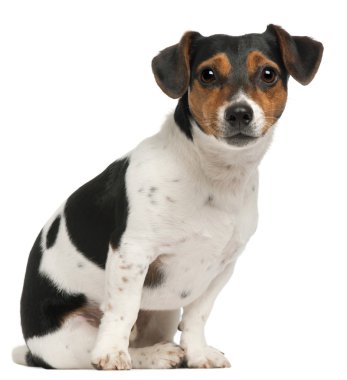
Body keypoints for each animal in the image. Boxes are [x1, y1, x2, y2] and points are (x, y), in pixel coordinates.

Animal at [12, 25, 324, 370]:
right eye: (207, 75)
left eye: (268, 74)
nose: (239, 113)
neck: (211, 173)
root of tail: (33, 350)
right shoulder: (131, 253)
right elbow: (123, 311)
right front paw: (112, 355)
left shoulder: (221, 267)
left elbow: (198, 316)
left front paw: (198, 354)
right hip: (70, 338)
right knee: (106, 342)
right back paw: (152, 354)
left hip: (164, 313)